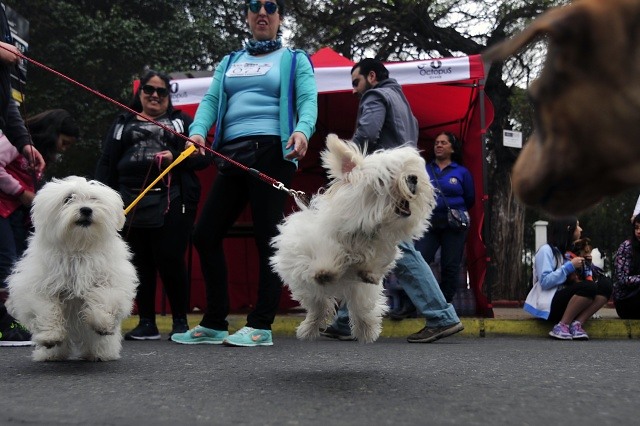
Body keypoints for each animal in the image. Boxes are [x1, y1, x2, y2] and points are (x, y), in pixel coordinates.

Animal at [6, 176, 138, 360]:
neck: (78, 247)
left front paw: (102, 323)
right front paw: (50, 336)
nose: (86, 210)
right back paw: (50, 354)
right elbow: (47, 309)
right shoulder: (39, 287)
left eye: (93, 198)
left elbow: (104, 298)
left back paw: (100, 353)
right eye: (68, 198)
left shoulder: (111, 281)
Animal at [270, 135, 436, 344]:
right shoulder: (314, 246)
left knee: (359, 308)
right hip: (307, 287)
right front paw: (325, 270)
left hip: (357, 290)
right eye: (388, 175)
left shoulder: (380, 250)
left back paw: (365, 329)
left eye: (409, 171)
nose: (413, 178)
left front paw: (368, 271)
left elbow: (375, 262)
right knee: (318, 306)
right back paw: (309, 327)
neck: (363, 230)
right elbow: (327, 251)